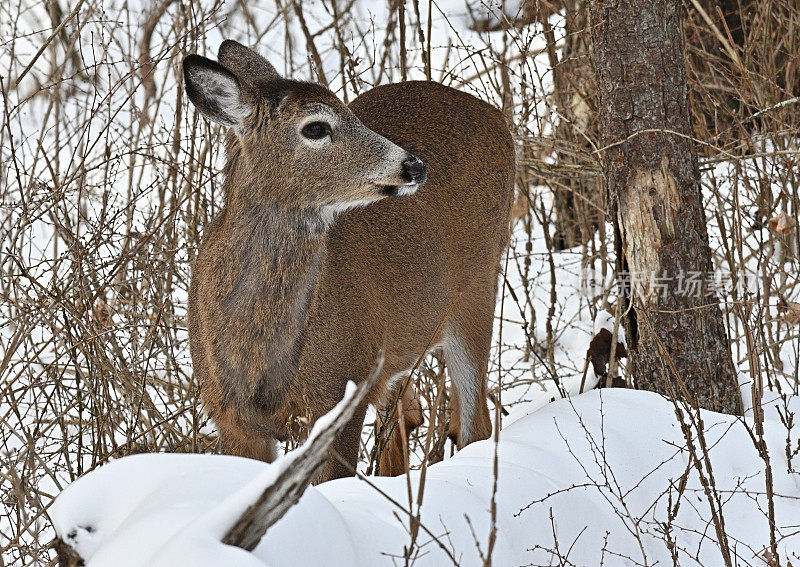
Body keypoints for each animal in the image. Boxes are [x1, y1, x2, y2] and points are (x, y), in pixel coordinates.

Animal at [182, 42, 516, 482]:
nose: (414, 165)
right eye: (315, 127)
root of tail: (497, 115)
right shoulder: (229, 416)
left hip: (478, 283)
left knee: (474, 424)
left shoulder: (342, 394)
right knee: (411, 416)